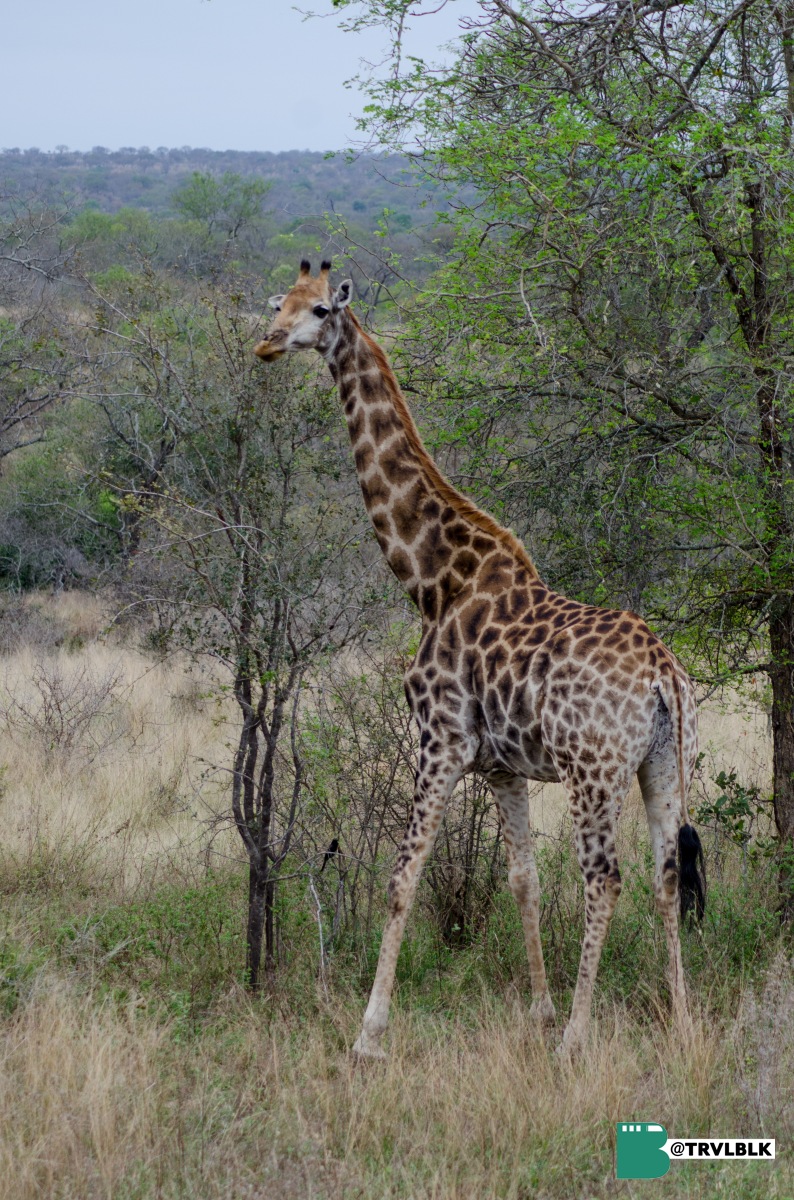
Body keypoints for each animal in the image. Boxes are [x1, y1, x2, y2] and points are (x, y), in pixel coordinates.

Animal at [253, 258, 705, 1056]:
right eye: (278, 303)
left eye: (316, 310)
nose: (268, 343)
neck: (432, 578)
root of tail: (662, 675)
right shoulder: (502, 766)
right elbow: (521, 878)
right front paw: (539, 1008)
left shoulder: (441, 741)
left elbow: (402, 877)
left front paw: (369, 1031)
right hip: (658, 762)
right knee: (663, 873)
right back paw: (677, 1020)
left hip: (593, 771)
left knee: (604, 878)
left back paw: (577, 1039)